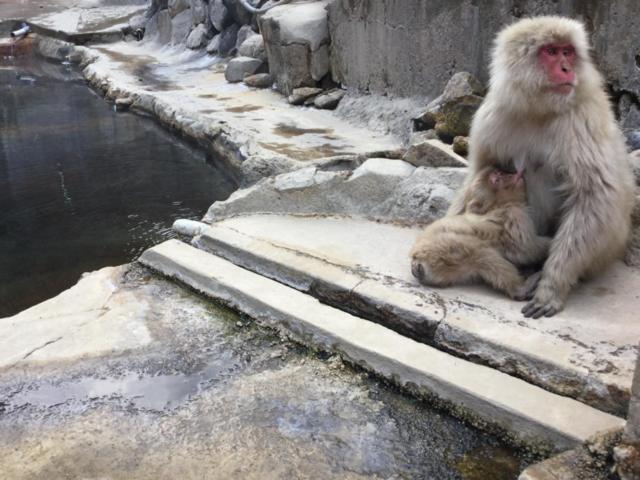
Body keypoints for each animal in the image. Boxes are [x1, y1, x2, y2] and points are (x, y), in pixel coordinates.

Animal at [410, 167, 552, 298]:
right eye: (497, 179)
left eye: (501, 173)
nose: (512, 175)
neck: (499, 205)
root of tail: (416, 262)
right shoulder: (515, 214)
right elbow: (525, 248)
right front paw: (550, 243)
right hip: (444, 247)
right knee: (483, 253)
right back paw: (520, 289)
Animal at [444, 16, 636, 318]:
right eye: (551, 52)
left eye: (567, 52)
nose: (566, 68)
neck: (538, 108)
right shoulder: (492, 115)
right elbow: (481, 172)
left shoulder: (581, 118)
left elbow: (594, 195)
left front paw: (551, 288)